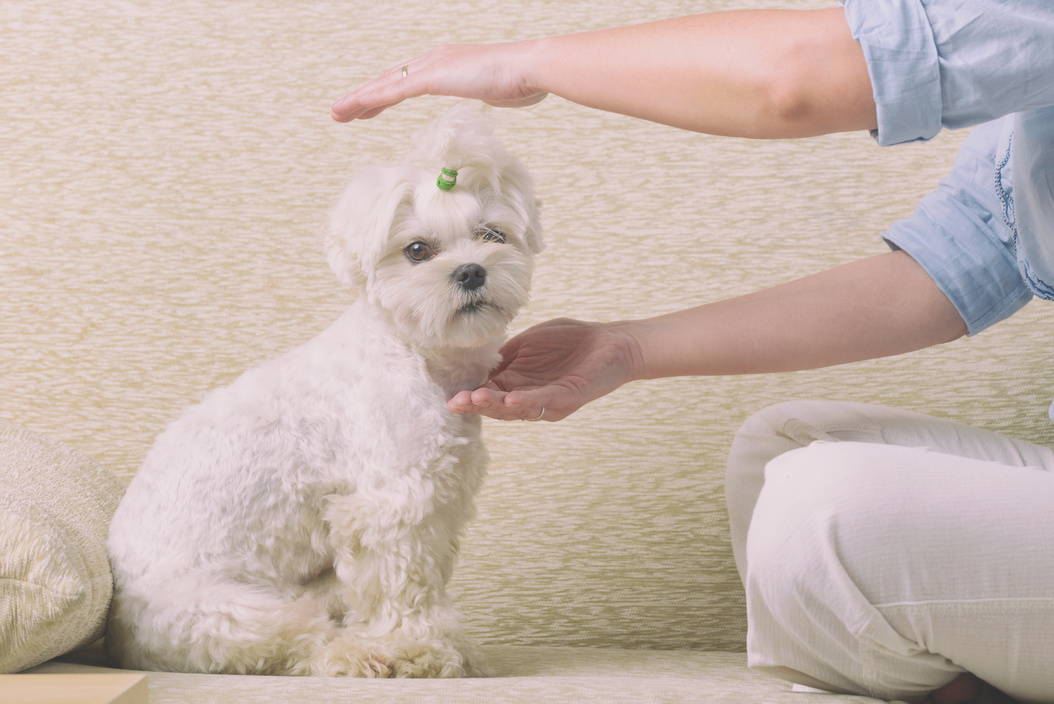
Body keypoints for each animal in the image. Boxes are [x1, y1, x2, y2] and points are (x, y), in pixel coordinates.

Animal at [104, 107, 543, 678]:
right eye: (417, 250)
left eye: (492, 234)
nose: (471, 271)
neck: (416, 353)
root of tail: (120, 637)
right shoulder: (390, 505)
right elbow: (402, 590)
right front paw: (417, 648)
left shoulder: (442, 499)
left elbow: (429, 581)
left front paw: (451, 645)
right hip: (233, 613)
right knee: (302, 643)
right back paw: (361, 654)